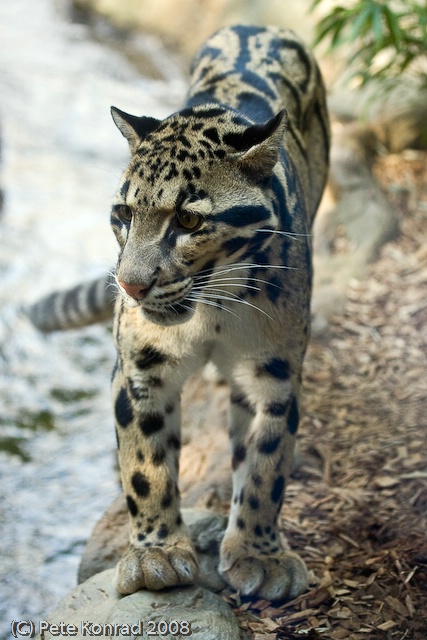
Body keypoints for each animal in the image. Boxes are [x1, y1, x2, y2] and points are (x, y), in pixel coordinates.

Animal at [29, 25, 332, 604]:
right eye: (123, 214)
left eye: (189, 220)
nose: (130, 284)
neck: (211, 310)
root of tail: (262, 26)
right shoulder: (139, 368)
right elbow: (146, 465)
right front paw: (156, 555)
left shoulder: (275, 371)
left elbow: (266, 463)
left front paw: (260, 555)